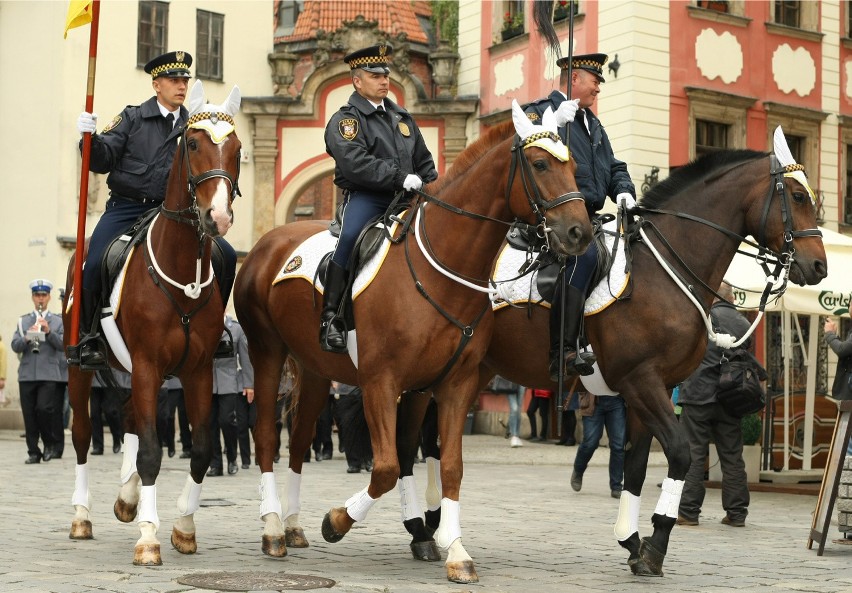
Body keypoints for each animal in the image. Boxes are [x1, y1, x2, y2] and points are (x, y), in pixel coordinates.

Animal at [63, 80, 241, 564]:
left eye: (236, 148)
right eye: (193, 143)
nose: (218, 218)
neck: (182, 271)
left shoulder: (196, 370)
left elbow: (200, 448)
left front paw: (182, 527)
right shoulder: (145, 364)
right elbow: (150, 453)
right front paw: (148, 537)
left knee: (127, 418)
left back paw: (127, 499)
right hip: (82, 369)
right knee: (84, 435)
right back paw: (82, 517)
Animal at [233, 102, 592, 584]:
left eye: (572, 165)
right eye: (539, 164)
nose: (579, 233)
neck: (442, 270)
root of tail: (267, 243)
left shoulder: (453, 384)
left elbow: (447, 465)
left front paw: (455, 549)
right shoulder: (380, 383)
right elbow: (386, 467)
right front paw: (337, 521)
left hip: (314, 369)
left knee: (300, 439)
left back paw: (292, 525)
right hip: (267, 352)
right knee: (268, 438)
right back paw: (273, 529)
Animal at [256, 136, 828, 576]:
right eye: (799, 195)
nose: (820, 265)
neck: (661, 270)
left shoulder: (651, 389)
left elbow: (637, 466)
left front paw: (632, 541)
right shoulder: (641, 381)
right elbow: (682, 456)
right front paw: (654, 547)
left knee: (413, 446)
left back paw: (422, 531)